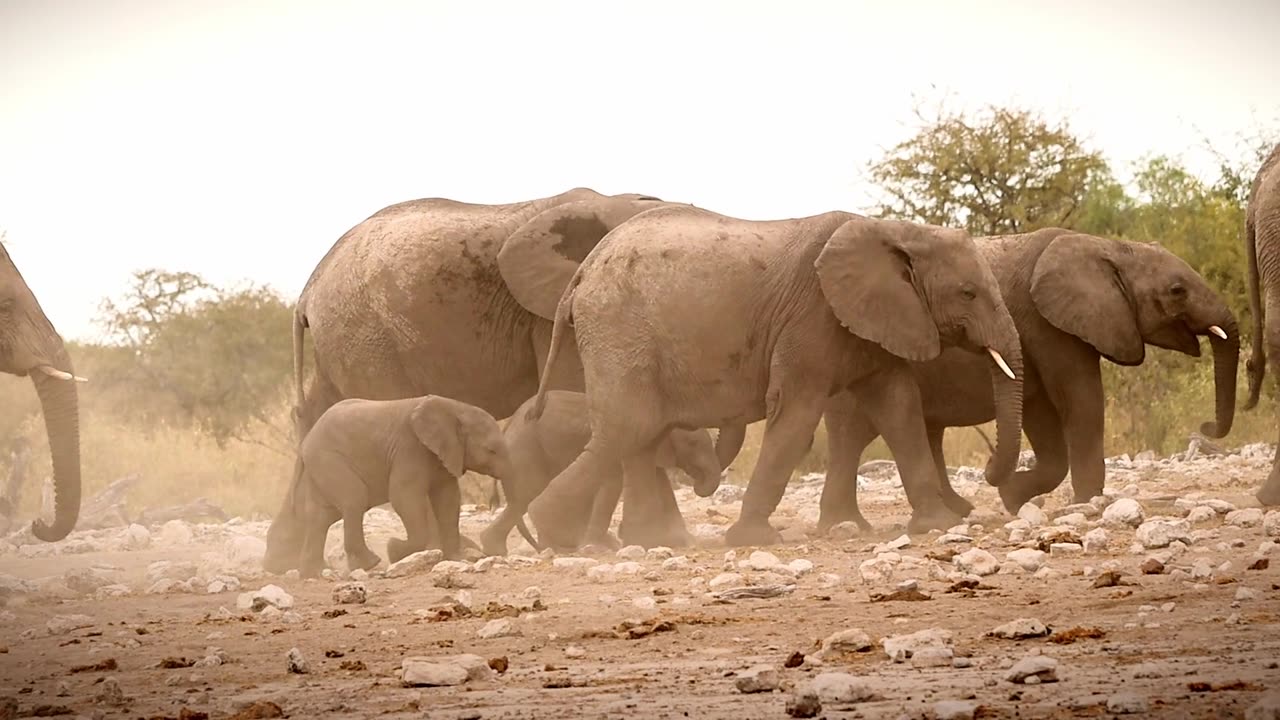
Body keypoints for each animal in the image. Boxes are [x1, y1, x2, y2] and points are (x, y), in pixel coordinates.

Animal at [262, 394, 512, 578]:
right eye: (491, 450)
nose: (493, 501)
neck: (455, 407)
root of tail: (305, 442)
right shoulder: (409, 449)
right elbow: (403, 497)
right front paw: (395, 550)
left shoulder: (445, 455)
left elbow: (448, 500)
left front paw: (457, 559)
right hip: (329, 459)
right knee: (354, 499)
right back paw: (369, 563)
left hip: (321, 467)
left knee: (321, 516)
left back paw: (316, 573)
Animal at [481, 390, 723, 556]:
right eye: (692, 444)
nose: (697, 482)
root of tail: (509, 424)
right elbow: (612, 486)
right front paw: (599, 546)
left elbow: (660, 482)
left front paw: (684, 541)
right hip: (525, 453)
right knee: (524, 499)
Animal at [524, 207, 1024, 550]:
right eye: (968, 293)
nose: (990, 472)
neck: (896, 231)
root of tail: (582, 273)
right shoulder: (812, 319)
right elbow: (797, 416)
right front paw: (753, 539)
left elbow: (900, 410)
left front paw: (939, 526)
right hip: (619, 327)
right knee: (631, 426)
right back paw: (556, 532)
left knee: (638, 435)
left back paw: (652, 542)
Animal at [818, 228, 1241, 531]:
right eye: (1177, 290)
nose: (1205, 426)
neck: (1106, 246)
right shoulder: (1050, 326)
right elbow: (1082, 401)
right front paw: (1087, 504)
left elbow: (1044, 418)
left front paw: (1012, 498)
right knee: (852, 435)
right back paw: (850, 525)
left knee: (919, 433)